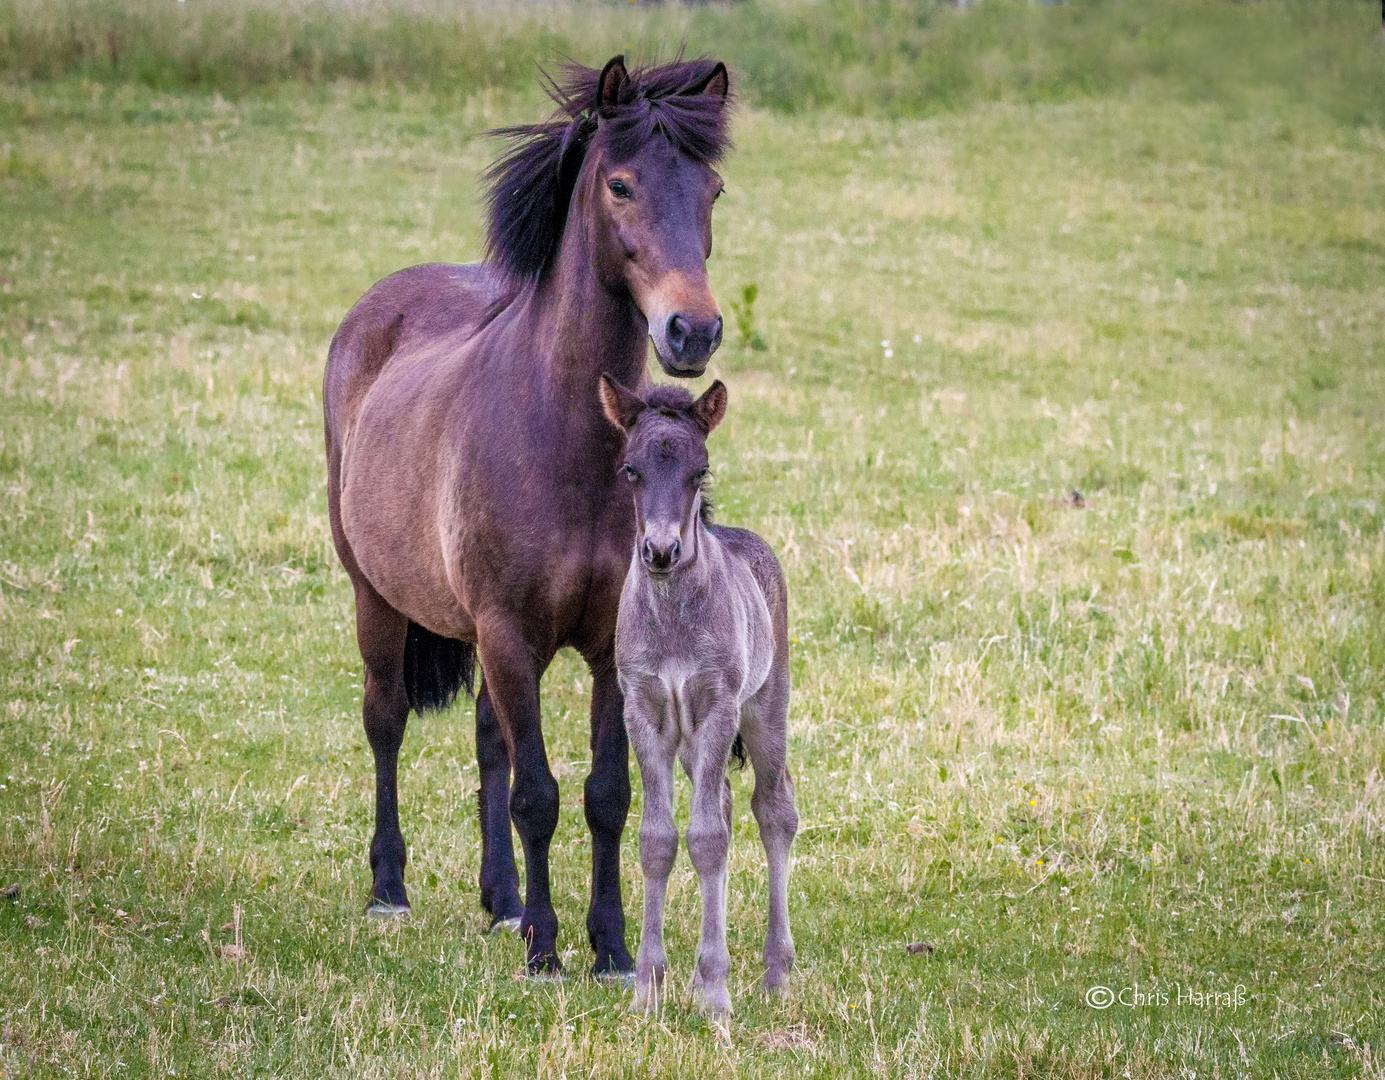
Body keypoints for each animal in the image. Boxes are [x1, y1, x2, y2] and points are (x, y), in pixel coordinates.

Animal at [322, 54, 731, 974]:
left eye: (713, 190)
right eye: (620, 184)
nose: (691, 330)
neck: (565, 442)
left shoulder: (611, 646)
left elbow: (605, 793)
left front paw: (610, 949)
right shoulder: (507, 632)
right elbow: (537, 793)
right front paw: (546, 951)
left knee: (487, 741)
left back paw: (500, 900)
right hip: (376, 597)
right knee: (386, 719)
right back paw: (390, 890)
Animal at [598, 376, 803, 1019]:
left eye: (700, 470)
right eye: (630, 469)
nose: (661, 551)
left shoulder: (718, 706)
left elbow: (708, 840)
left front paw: (715, 992)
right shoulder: (642, 711)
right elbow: (658, 840)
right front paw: (647, 987)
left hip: (765, 707)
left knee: (773, 808)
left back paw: (775, 971)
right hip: (691, 742)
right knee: (728, 804)